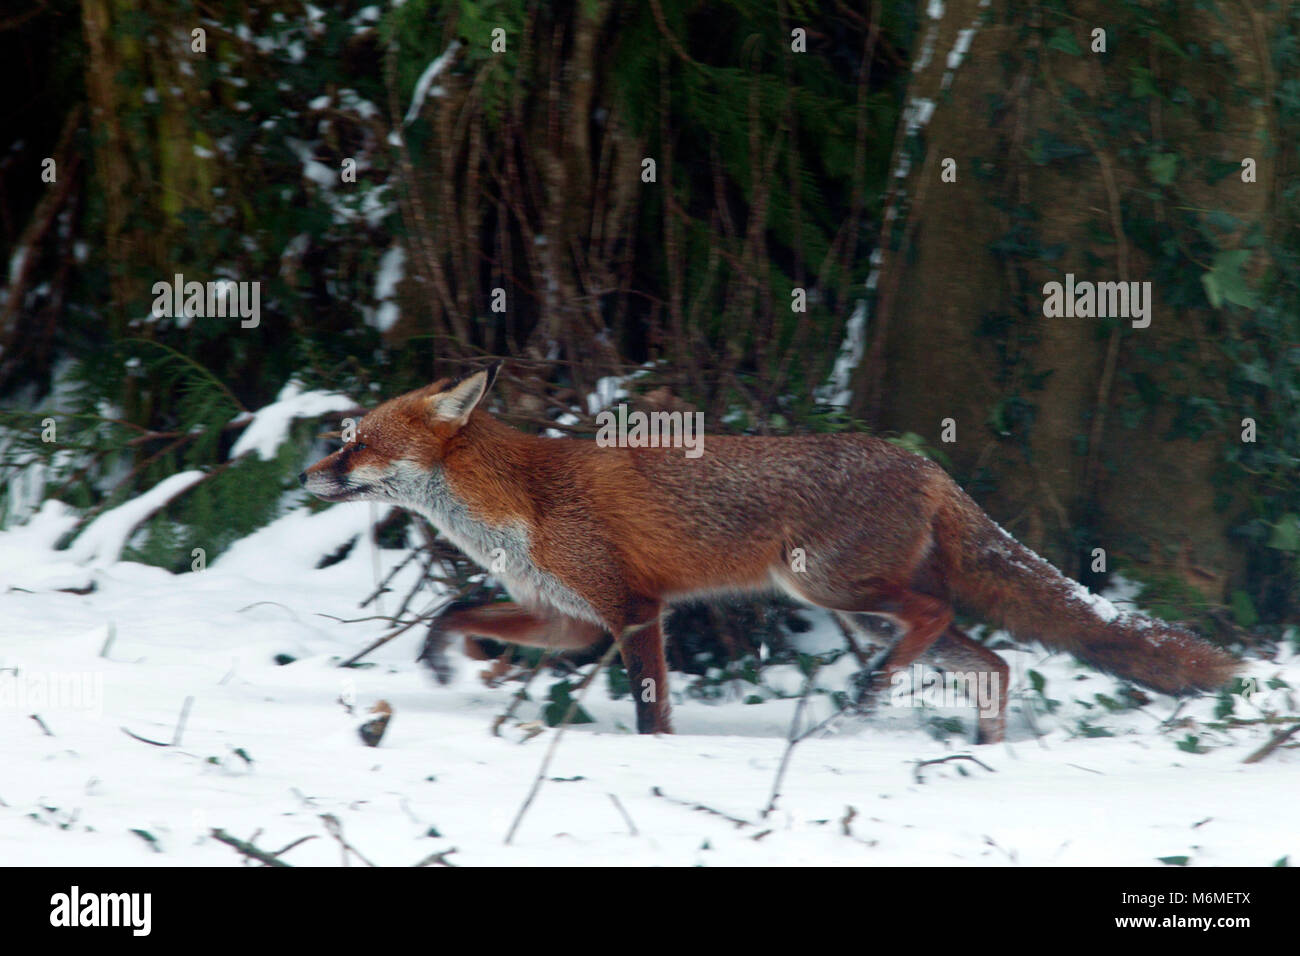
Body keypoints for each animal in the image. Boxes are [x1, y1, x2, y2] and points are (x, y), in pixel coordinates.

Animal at [301, 361, 1237, 743]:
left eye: (355, 443)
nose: (309, 473)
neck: (519, 505)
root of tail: (926, 463)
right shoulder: (567, 618)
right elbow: (456, 607)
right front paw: (443, 661)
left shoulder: (632, 611)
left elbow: (652, 709)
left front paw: (654, 755)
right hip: (856, 599)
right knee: (990, 661)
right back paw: (981, 745)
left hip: (825, 585)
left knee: (935, 614)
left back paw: (870, 696)